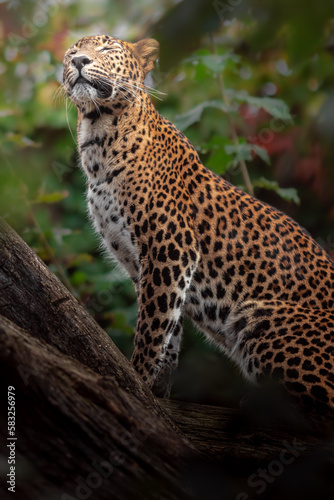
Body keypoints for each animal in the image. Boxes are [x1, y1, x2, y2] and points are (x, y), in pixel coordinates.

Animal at [63, 34, 334, 418]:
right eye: (72, 51)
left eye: (106, 49)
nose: (78, 61)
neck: (97, 137)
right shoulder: (148, 265)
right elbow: (169, 329)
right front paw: (158, 390)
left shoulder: (170, 247)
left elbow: (151, 326)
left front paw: (136, 378)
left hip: (259, 316)